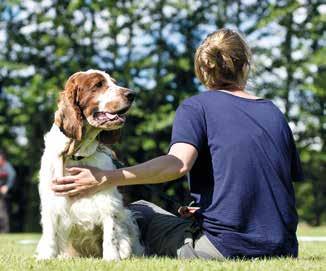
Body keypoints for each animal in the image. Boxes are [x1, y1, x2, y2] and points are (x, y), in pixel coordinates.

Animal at [35, 70, 143, 262]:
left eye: (114, 82)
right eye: (98, 85)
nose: (131, 94)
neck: (77, 154)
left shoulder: (108, 200)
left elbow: (111, 233)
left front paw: (111, 258)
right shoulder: (51, 200)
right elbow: (50, 234)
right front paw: (46, 258)